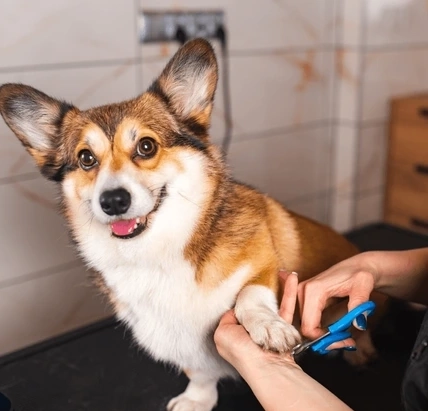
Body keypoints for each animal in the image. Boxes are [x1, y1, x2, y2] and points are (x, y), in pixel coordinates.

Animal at [0, 39, 386, 411]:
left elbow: (249, 296)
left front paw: (269, 327)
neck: (158, 253)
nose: (113, 201)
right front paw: (198, 399)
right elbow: (198, 372)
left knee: (359, 326)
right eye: (85, 158)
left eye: (146, 146)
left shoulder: (264, 269)